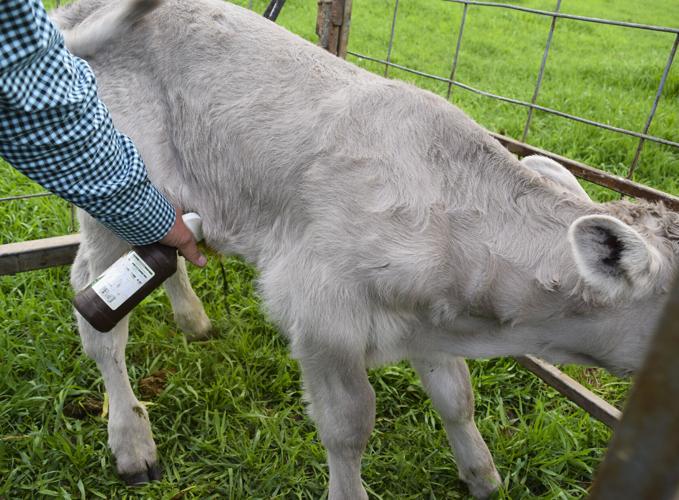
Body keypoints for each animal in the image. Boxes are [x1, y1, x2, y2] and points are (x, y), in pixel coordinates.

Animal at [52, 0, 679, 497]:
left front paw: (482, 476)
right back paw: (133, 443)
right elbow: (349, 427)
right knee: (97, 314)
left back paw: (193, 319)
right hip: (107, 195)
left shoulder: (427, 321)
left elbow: (456, 397)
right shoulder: (321, 318)